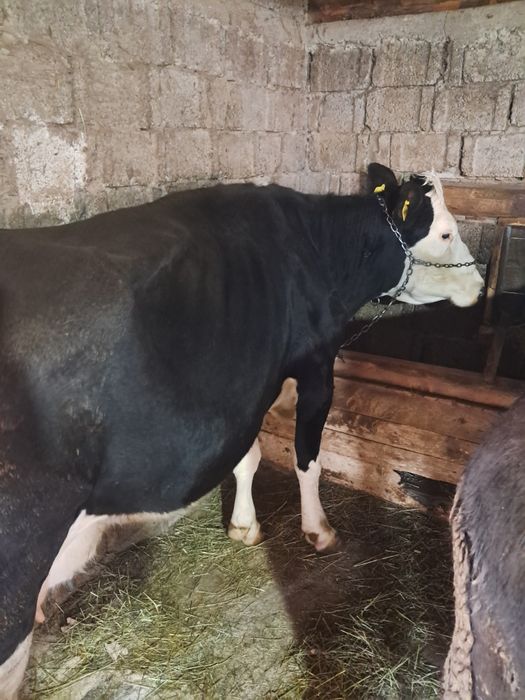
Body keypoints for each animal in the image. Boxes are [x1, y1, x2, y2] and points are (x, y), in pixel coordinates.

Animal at [0, 163, 483, 698]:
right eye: (446, 232)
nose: (481, 284)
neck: (314, 247)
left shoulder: (249, 389)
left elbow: (247, 459)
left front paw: (243, 525)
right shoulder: (316, 364)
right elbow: (307, 458)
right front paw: (319, 531)